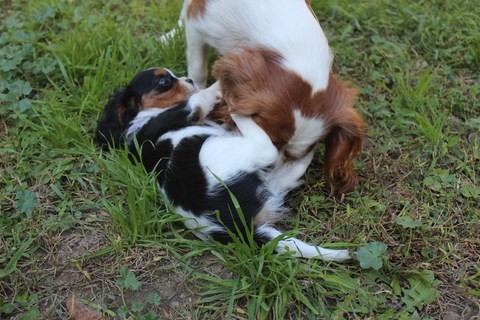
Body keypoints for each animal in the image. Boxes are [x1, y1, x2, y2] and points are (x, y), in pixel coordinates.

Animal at [95, 67, 352, 262]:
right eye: (163, 80)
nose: (189, 79)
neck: (148, 115)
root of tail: (235, 227)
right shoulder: (169, 119)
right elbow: (195, 100)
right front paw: (218, 86)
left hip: (267, 181)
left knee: (291, 169)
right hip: (218, 154)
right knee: (268, 149)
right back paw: (240, 111)